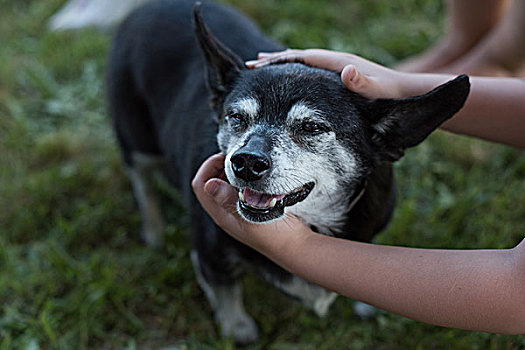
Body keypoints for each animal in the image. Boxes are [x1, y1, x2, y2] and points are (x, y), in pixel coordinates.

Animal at [107, 0, 470, 344]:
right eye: (236, 117)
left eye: (311, 126)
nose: (246, 162)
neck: (313, 221)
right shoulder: (210, 254)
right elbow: (226, 293)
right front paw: (238, 328)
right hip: (136, 136)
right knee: (141, 180)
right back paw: (154, 229)